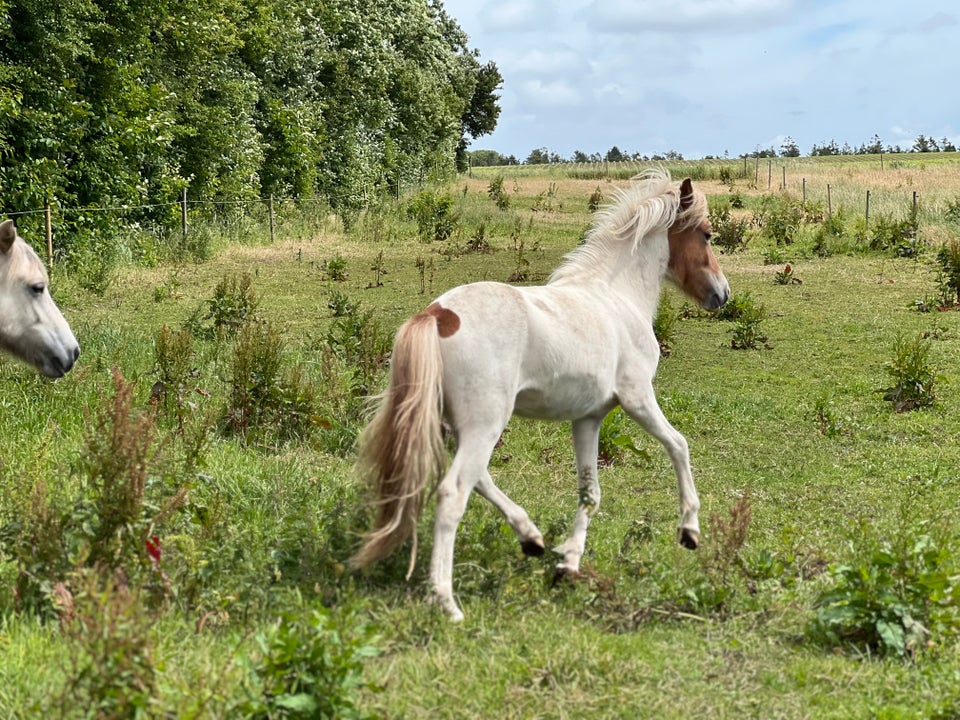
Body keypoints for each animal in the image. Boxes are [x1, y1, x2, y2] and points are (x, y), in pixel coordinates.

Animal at [350, 169, 728, 620]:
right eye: (706, 234)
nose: (722, 295)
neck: (617, 297)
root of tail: (436, 315)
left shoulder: (589, 417)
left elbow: (590, 492)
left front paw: (568, 563)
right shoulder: (637, 397)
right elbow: (679, 445)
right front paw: (689, 531)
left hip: (458, 423)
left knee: (480, 478)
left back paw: (530, 538)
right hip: (485, 423)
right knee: (454, 491)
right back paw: (446, 601)